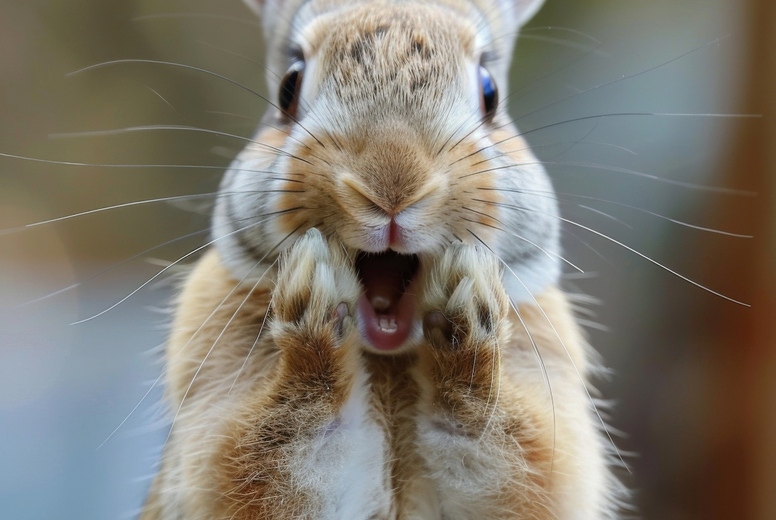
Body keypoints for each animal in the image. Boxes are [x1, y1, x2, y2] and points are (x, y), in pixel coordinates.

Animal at [140, 0, 625, 518]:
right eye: (289, 87)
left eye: (489, 93)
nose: (392, 184)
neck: (388, 356)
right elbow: (287, 441)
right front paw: (314, 296)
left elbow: (489, 436)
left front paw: (465, 301)